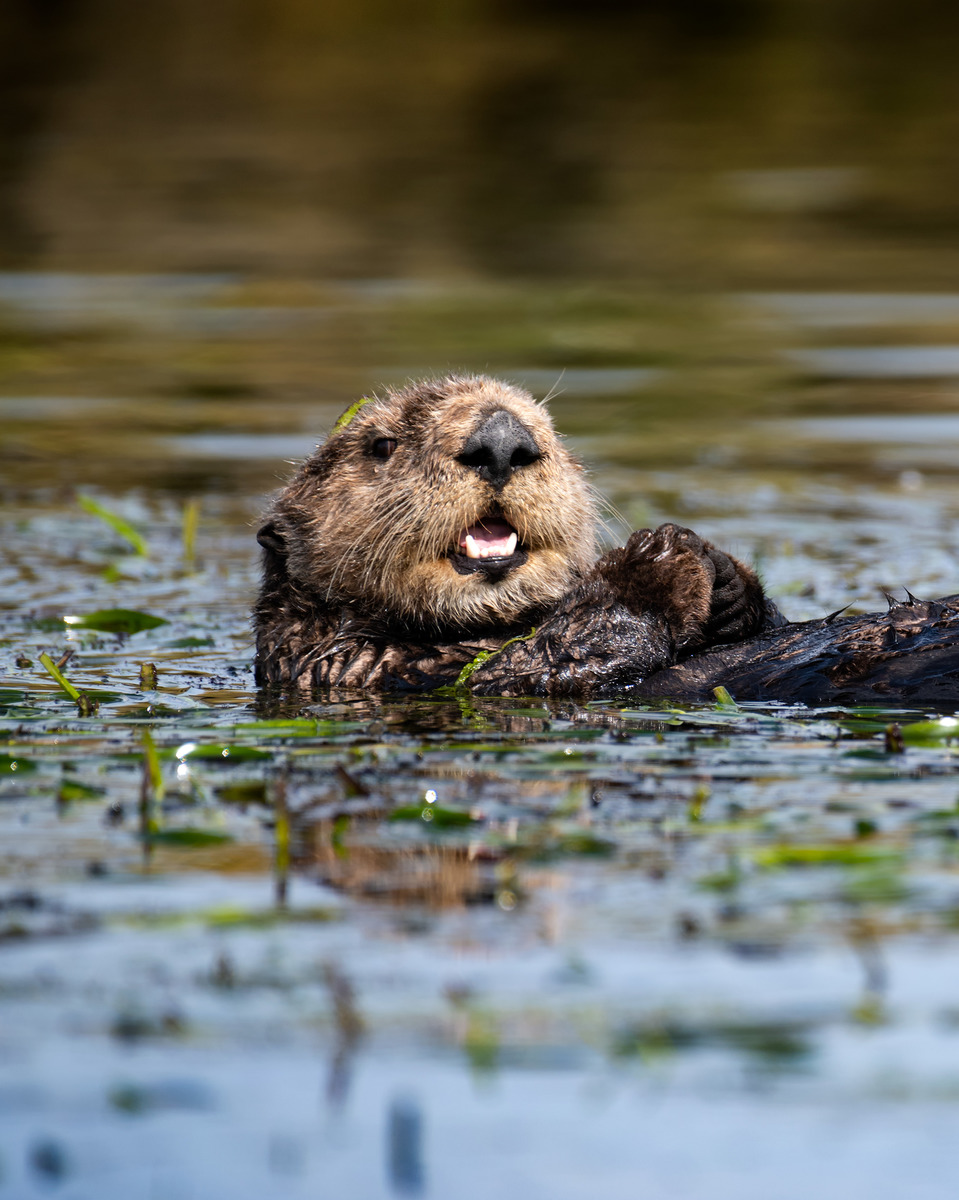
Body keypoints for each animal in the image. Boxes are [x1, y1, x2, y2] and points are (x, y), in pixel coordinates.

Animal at [254, 374, 959, 709]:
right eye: (382, 445)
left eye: (547, 428)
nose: (502, 439)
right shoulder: (368, 666)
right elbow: (553, 659)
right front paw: (661, 561)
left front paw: (721, 575)